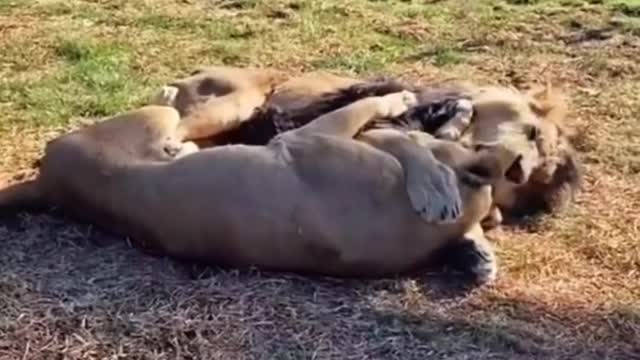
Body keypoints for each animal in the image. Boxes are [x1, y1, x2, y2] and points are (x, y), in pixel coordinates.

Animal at [0, 71, 528, 282]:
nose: (462, 104)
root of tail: (49, 182)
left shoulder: (316, 135)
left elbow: (397, 132)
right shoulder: (318, 132)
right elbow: (388, 120)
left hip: (157, 118)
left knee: (180, 122)